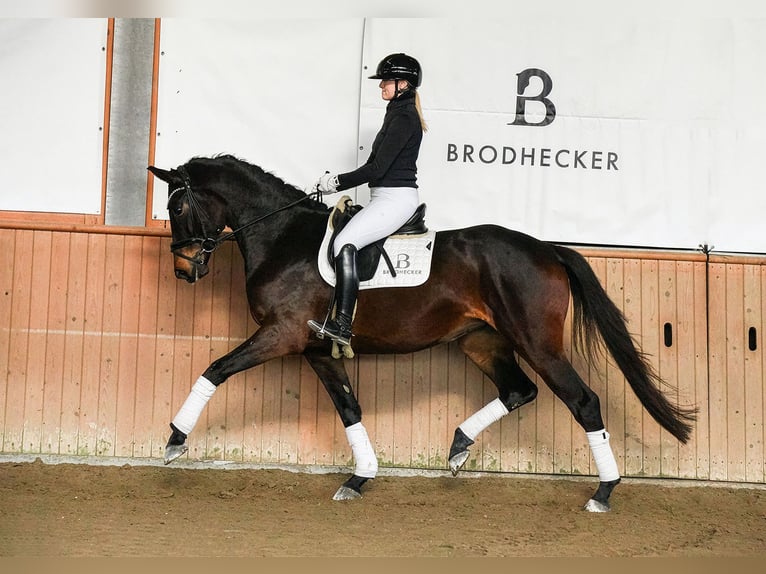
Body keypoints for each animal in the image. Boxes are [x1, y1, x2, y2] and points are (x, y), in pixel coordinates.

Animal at [148, 154, 696, 512]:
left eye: (177, 208)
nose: (183, 269)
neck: (284, 238)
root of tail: (546, 248)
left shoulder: (281, 335)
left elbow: (215, 369)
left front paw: (174, 440)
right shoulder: (316, 348)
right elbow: (349, 408)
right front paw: (359, 478)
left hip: (537, 343)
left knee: (582, 401)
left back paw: (603, 492)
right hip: (481, 340)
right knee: (518, 390)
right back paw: (458, 446)